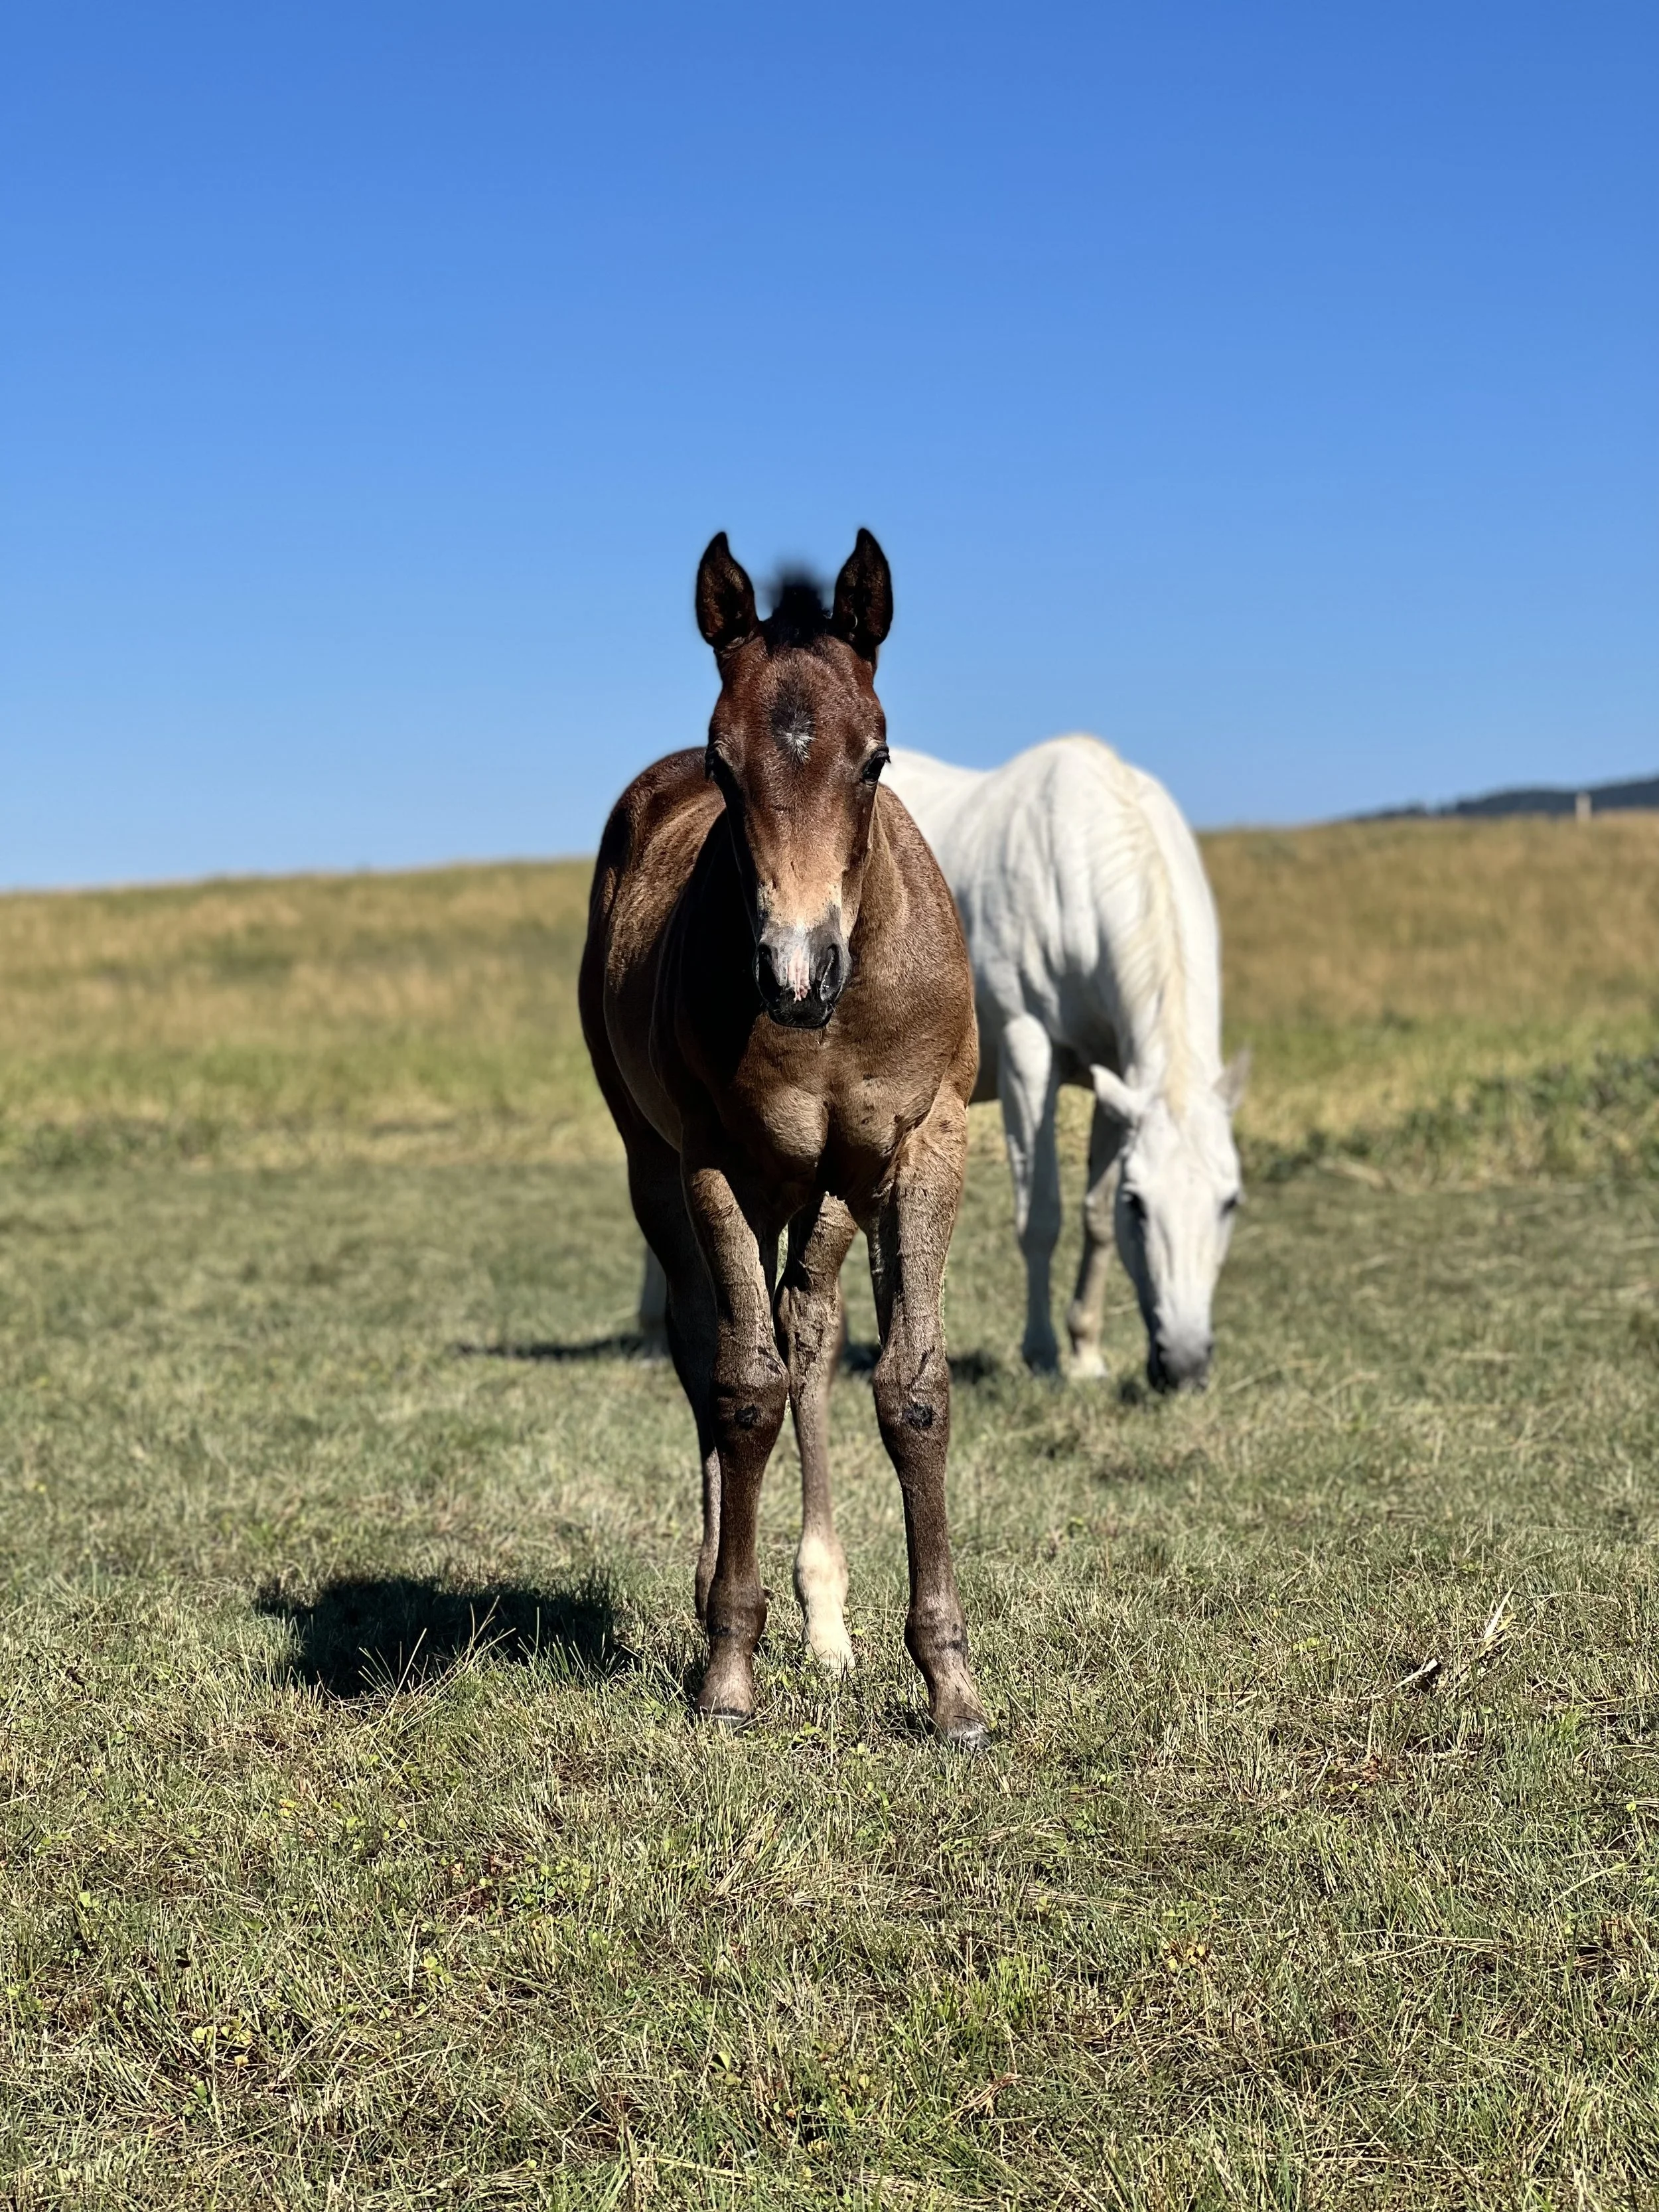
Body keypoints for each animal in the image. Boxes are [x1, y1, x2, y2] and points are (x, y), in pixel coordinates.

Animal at [580, 531, 989, 1746]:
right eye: (725, 767)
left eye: (877, 759)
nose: (796, 973)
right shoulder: (713, 1155)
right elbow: (743, 1386)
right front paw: (729, 1664)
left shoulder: (918, 1145)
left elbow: (910, 1387)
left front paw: (950, 1685)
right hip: (664, 1164)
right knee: (708, 1341)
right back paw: (722, 1591)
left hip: (828, 1184)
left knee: (809, 1324)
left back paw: (828, 1621)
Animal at [882, 735, 1248, 1391]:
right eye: (1141, 1204)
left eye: (1230, 1201)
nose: (1183, 1366)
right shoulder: (1029, 1053)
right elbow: (1041, 1215)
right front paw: (1043, 1353)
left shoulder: (1117, 1078)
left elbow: (1094, 1217)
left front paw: (1086, 1351)